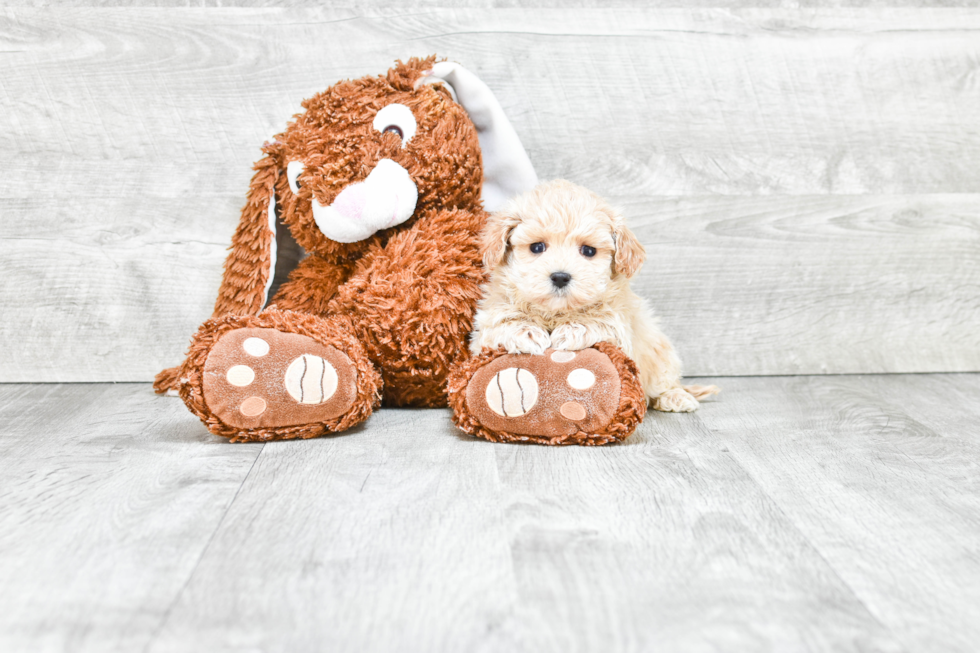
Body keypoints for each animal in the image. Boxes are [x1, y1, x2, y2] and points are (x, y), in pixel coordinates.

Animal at [470, 178, 716, 412]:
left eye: (588, 251)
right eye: (537, 247)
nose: (560, 277)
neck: (556, 312)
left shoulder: (620, 329)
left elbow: (600, 321)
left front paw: (570, 330)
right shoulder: (486, 325)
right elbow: (499, 323)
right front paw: (526, 331)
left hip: (660, 355)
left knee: (665, 383)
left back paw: (675, 397)